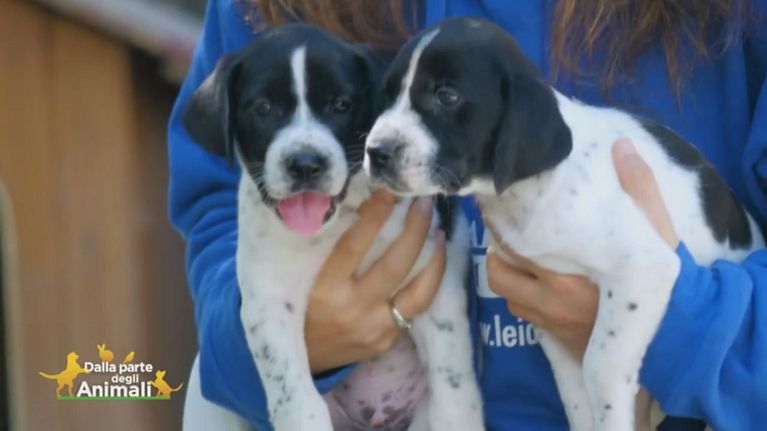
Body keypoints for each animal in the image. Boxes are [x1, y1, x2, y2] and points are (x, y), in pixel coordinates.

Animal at [180, 24, 484, 431]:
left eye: (341, 104)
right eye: (263, 108)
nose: (305, 163)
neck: (333, 227)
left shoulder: (435, 287)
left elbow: (453, 395)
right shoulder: (269, 304)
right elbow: (297, 399)